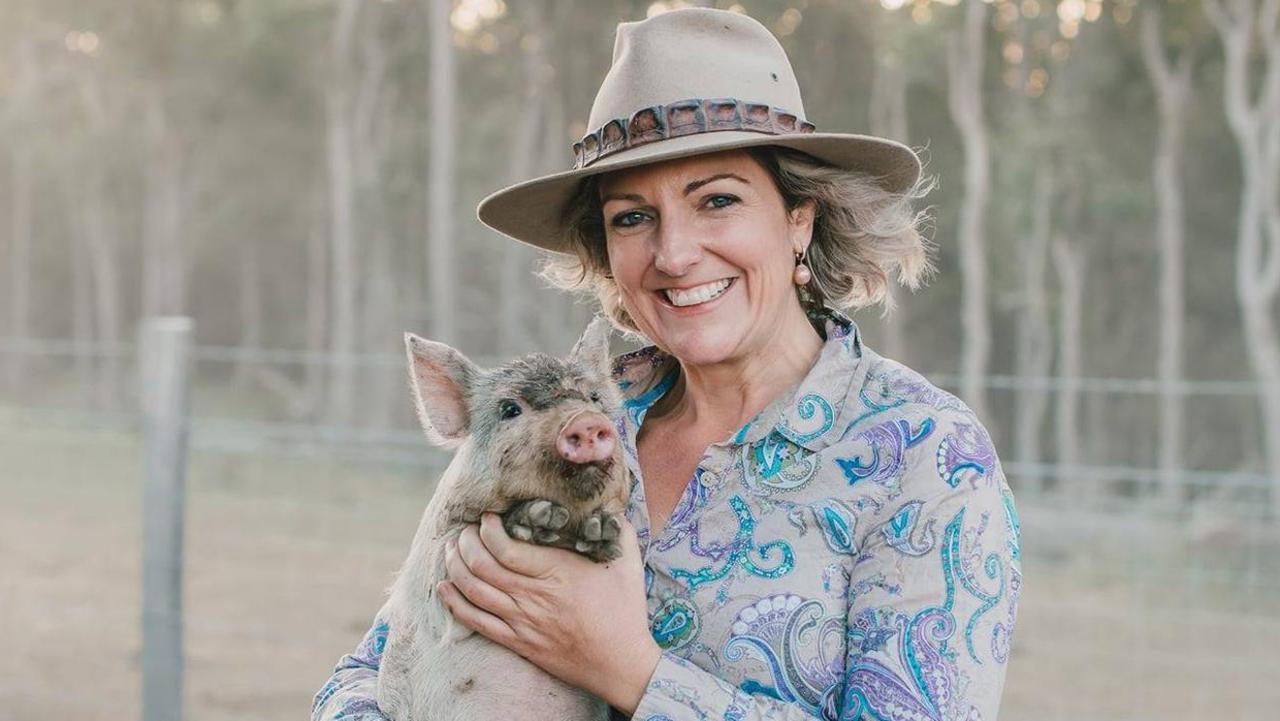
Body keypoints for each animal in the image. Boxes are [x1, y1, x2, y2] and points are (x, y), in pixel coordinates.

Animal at [371, 318, 629, 721]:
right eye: (509, 409)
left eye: (593, 398)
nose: (585, 422)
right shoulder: (438, 566)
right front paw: (539, 518)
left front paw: (604, 532)